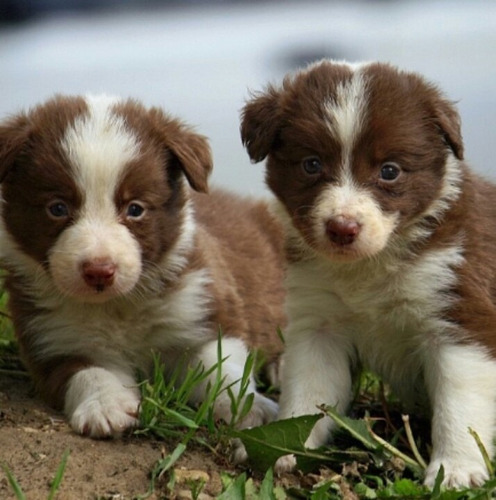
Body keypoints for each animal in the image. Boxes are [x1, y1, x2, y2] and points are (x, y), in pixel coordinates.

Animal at [0, 94, 284, 438]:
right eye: (57, 208)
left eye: (135, 209)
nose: (99, 271)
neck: (120, 304)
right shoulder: (51, 339)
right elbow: (87, 371)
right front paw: (106, 406)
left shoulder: (205, 306)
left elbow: (221, 365)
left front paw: (246, 407)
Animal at [242, 59, 496, 488]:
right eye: (311, 164)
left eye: (390, 171)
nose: (342, 228)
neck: (370, 265)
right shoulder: (319, 323)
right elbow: (308, 391)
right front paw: (285, 447)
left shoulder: (460, 317)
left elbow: (459, 402)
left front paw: (455, 469)